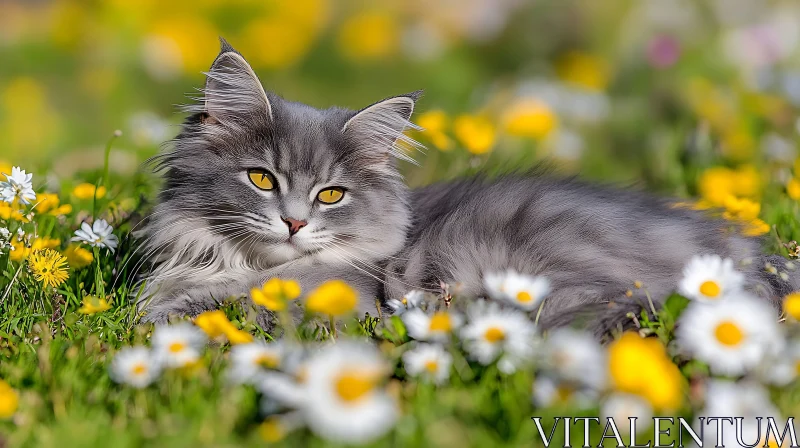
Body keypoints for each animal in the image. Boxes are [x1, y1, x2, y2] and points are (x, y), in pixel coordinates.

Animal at [138, 40, 792, 334]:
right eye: (261, 178)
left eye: (331, 195)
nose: (295, 222)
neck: (239, 266)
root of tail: (746, 256)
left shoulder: (336, 300)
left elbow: (211, 309)